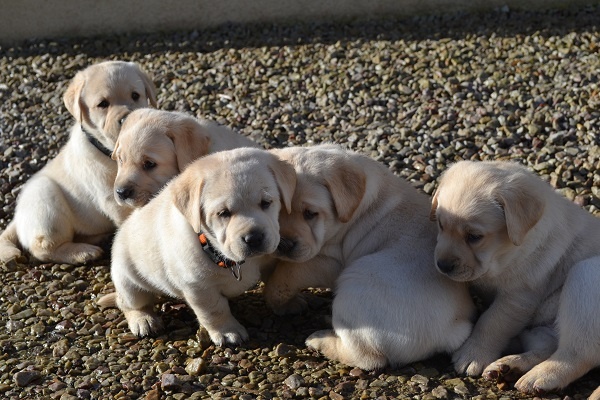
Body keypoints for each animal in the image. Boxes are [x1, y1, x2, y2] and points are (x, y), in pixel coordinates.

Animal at [0, 61, 157, 264]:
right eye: (103, 104)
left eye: (135, 95)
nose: (126, 118)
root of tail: (16, 219)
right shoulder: (114, 197)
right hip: (44, 197)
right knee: (43, 248)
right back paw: (83, 252)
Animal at [100, 148, 296, 346]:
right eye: (223, 213)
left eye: (266, 203)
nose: (254, 238)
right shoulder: (198, 287)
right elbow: (214, 310)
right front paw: (227, 331)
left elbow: (279, 283)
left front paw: (288, 303)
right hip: (127, 280)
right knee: (130, 303)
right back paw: (143, 320)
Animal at [262, 144, 474, 368]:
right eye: (275, 212)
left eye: (310, 214)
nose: (284, 243)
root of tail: (452, 331)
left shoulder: (328, 261)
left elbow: (285, 275)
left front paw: (283, 303)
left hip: (355, 282)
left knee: (366, 357)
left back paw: (321, 340)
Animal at [432, 161, 600, 396]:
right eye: (440, 224)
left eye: (474, 237)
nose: (443, 266)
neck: (504, 255)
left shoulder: (518, 296)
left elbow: (492, 321)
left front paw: (473, 353)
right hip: (541, 327)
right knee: (547, 346)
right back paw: (509, 366)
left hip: (586, 275)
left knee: (578, 353)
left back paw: (540, 376)